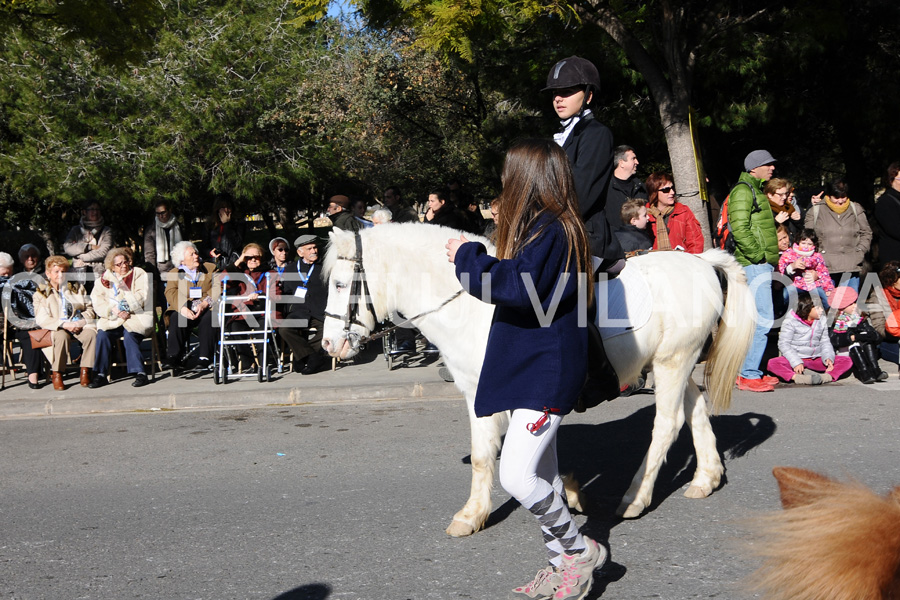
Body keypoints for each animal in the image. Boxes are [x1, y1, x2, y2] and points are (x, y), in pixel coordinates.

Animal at [320, 223, 756, 536]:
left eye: (340, 285)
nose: (328, 345)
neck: (477, 304)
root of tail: (702, 262)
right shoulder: (496, 393)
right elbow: (517, 452)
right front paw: (563, 491)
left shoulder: (494, 392)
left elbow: (491, 455)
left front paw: (476, 513)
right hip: (677, 362)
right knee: (696, 410)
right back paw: (705, 478)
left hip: (671, 363)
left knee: (667, 424)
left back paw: (636, 497)